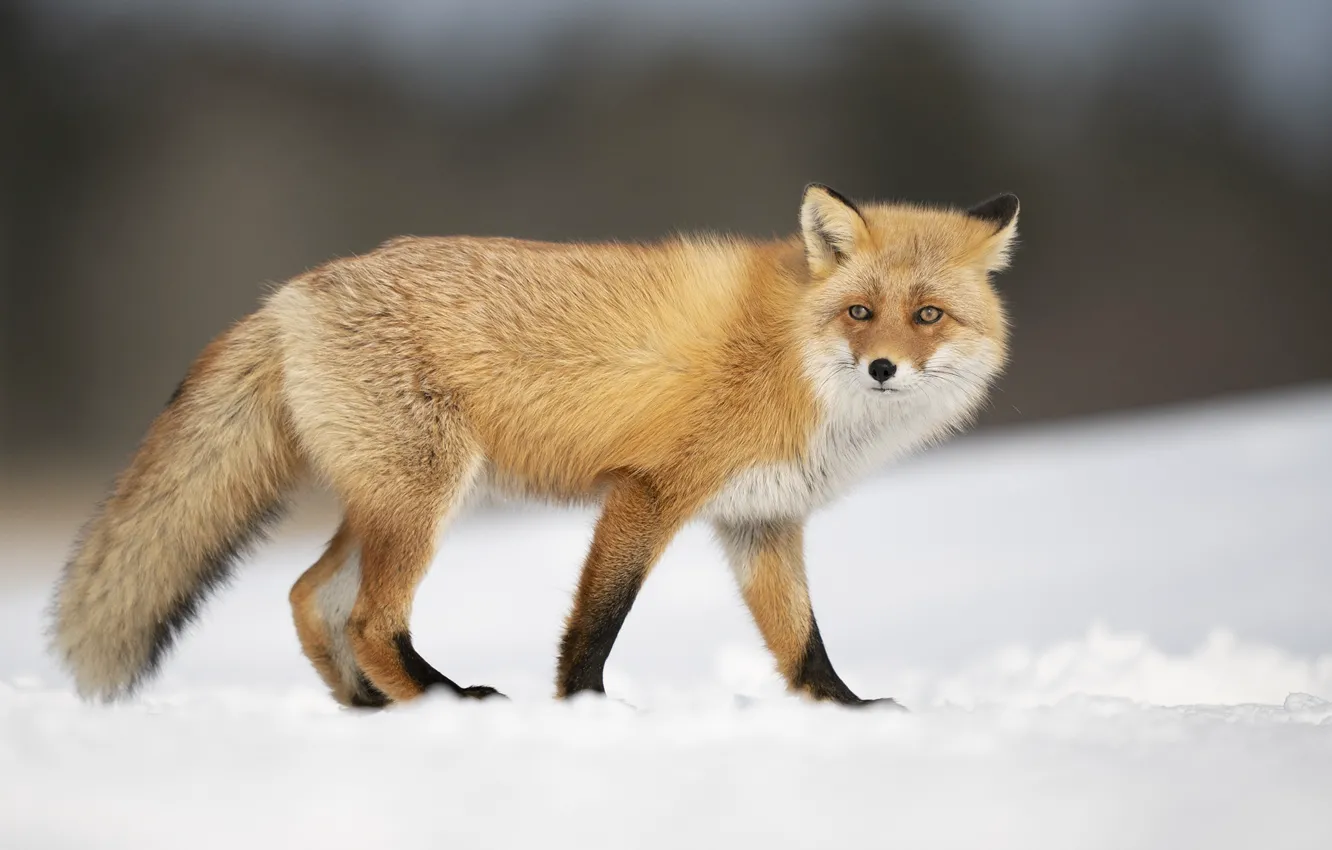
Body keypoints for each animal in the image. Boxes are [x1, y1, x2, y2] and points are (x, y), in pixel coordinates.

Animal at [50, 184, 1017, 708]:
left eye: (928, 315)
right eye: (860, 311)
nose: (884, 367)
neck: (788, 358)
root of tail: (288, 295)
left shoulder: (762, 521)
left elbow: (804, 643)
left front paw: (848, 710)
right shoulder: (649, 492)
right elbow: (597, 622)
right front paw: (586, 711)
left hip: (398, 499)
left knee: (307, 596)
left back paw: (376, 712)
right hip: (424, 499)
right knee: (366, 618)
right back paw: (447, 702)